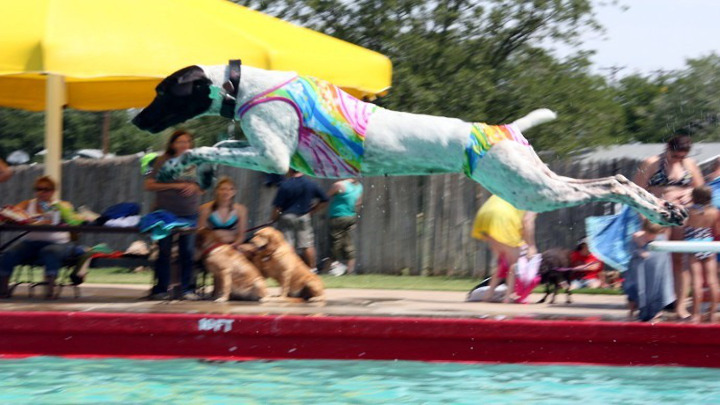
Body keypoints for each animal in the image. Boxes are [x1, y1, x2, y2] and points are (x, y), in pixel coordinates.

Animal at [134, 61, 688, 226]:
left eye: (162, 91)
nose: (138, 120)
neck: (241, 84)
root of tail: (503, 128)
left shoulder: (271, 155)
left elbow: (204, 146)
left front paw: (182, 164)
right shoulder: (263, 153)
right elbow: (209, 149)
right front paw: (186, 169)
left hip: (533, 190)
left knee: (612, 183)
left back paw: (665, 211)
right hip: (533, 181)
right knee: (618, 177)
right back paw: (667, 209)